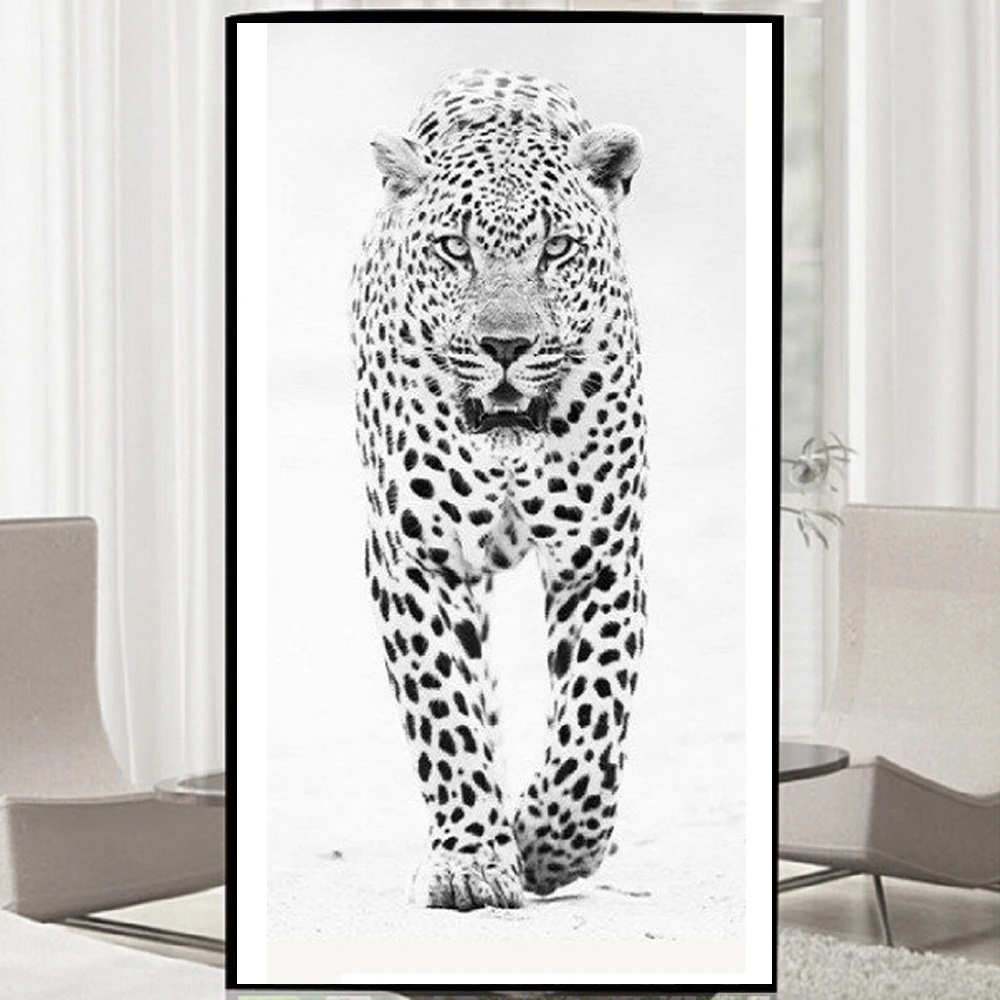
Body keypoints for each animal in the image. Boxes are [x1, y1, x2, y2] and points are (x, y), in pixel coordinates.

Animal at [350, 68, 647, 911]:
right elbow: (445, 711)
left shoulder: (599, 555)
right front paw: (473, 860)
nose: (505, 346)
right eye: (457, 249)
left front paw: (548, 843)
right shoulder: (419, 558)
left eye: (557, 249)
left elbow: (593, 723)